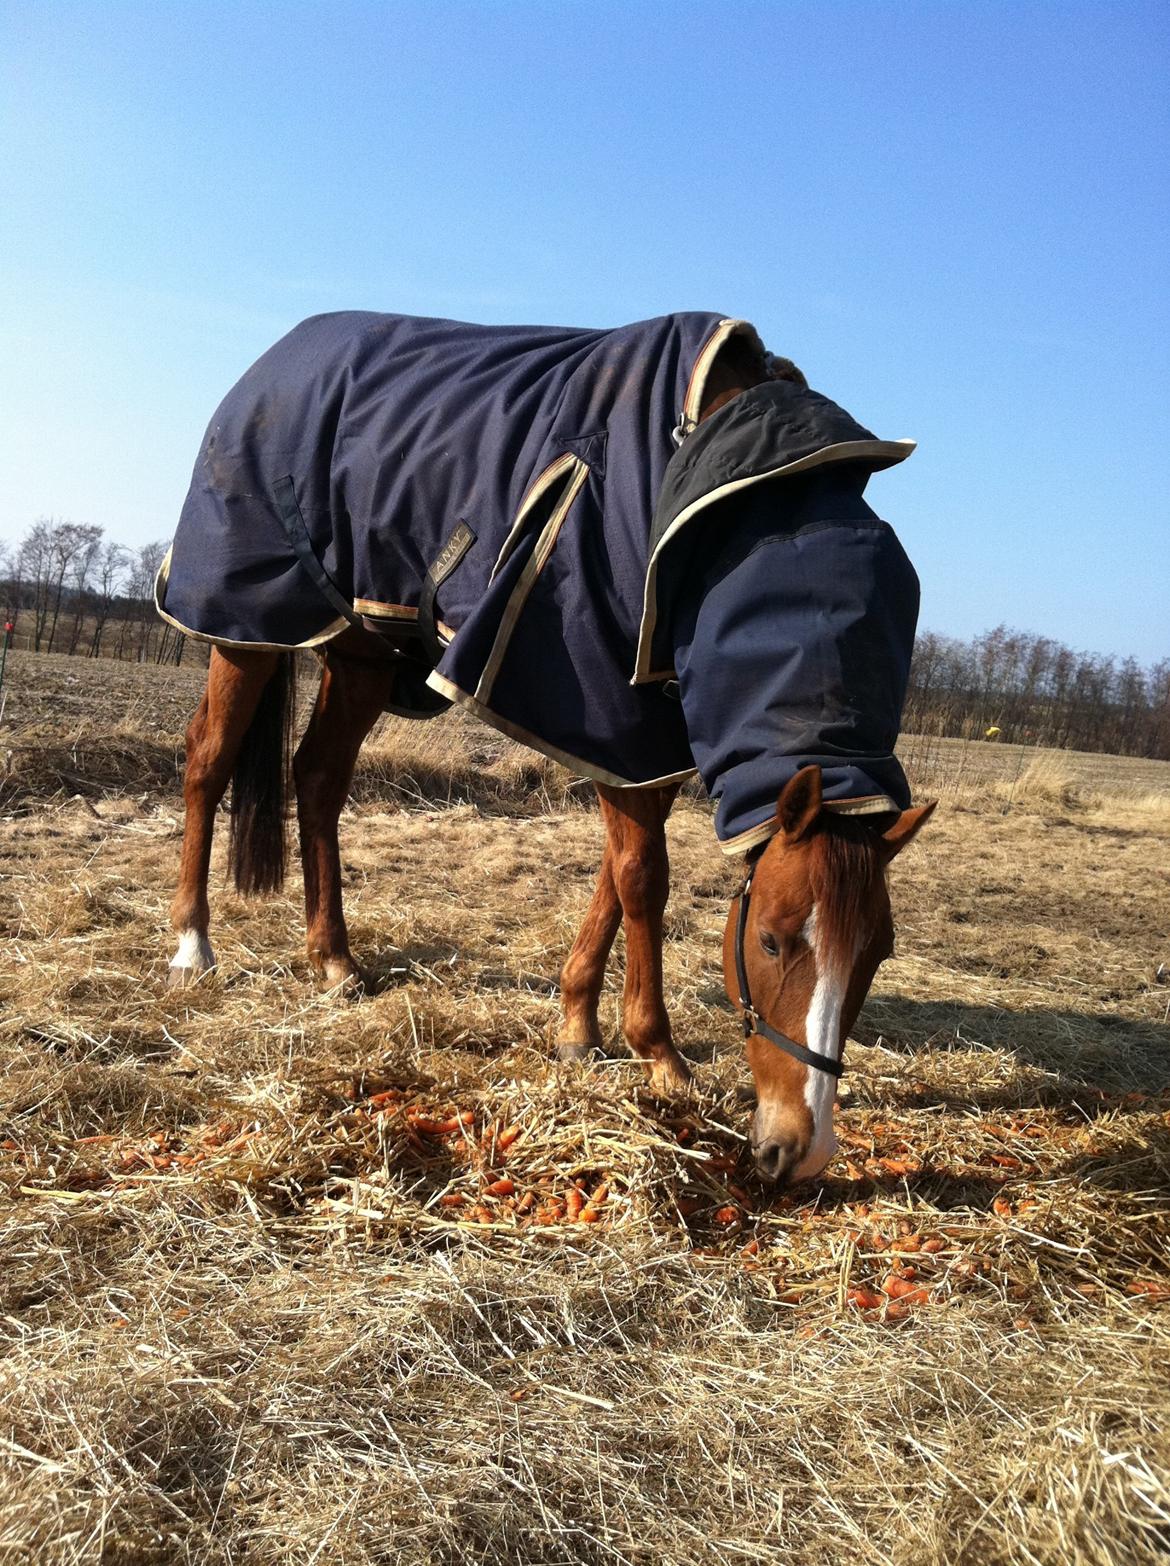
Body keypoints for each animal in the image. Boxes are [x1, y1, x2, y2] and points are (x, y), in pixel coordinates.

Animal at [162, 311, 933, 1177]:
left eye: (878, 952)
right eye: (769, 939)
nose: (803, 1149)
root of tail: (272, 362)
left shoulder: (638, 738)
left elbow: (620, 873)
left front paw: (578, 1027)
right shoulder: (602, 711)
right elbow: (643, 879)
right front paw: (658, 1055)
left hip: (360, 652)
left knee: (319, 777)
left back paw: (333, 959)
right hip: (250, 625)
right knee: (208, 762)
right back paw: (193, 946)